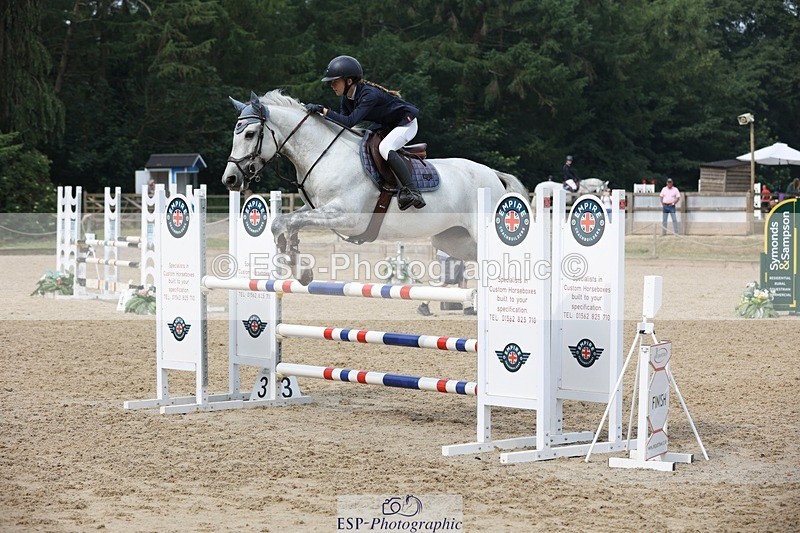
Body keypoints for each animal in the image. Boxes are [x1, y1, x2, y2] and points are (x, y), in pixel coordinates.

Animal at [222, 90, 528, 284]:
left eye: (250, 134)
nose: (230, 180)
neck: (325, 153)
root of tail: (494, 176)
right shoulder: (319, 211)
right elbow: (283, 224)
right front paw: (299, 268)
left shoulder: (347, 217)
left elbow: (290, 222)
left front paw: (299, 267)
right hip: (452, 239)